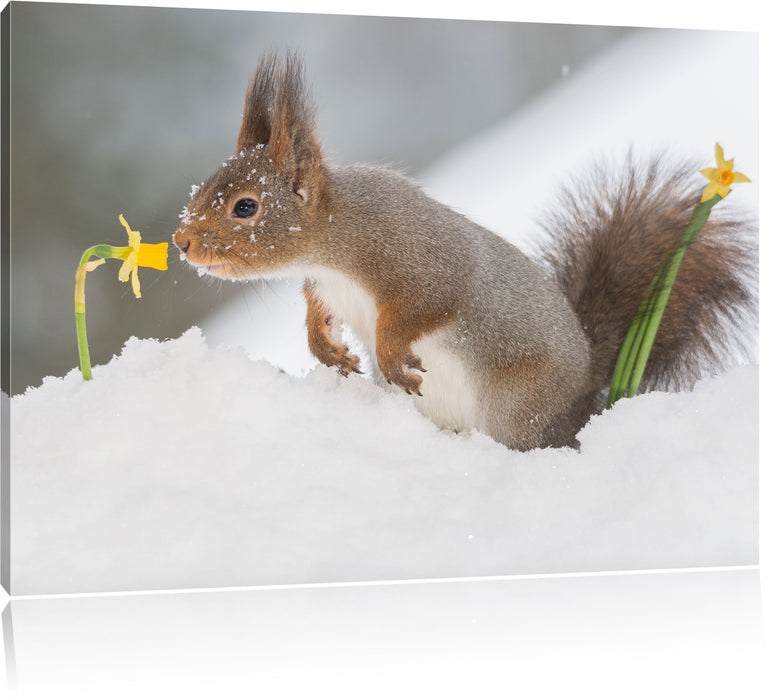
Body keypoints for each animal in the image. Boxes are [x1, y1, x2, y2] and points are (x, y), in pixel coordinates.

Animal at [173, 51, 756, 451]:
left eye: (246, 207)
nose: (181, 242)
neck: (335, 241)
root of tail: (586, 395)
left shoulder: (420, 259)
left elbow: (430, 304)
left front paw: (390, 354)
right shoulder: (327, 286)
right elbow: (319, 312)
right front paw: (328, 350)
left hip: (517, 407)